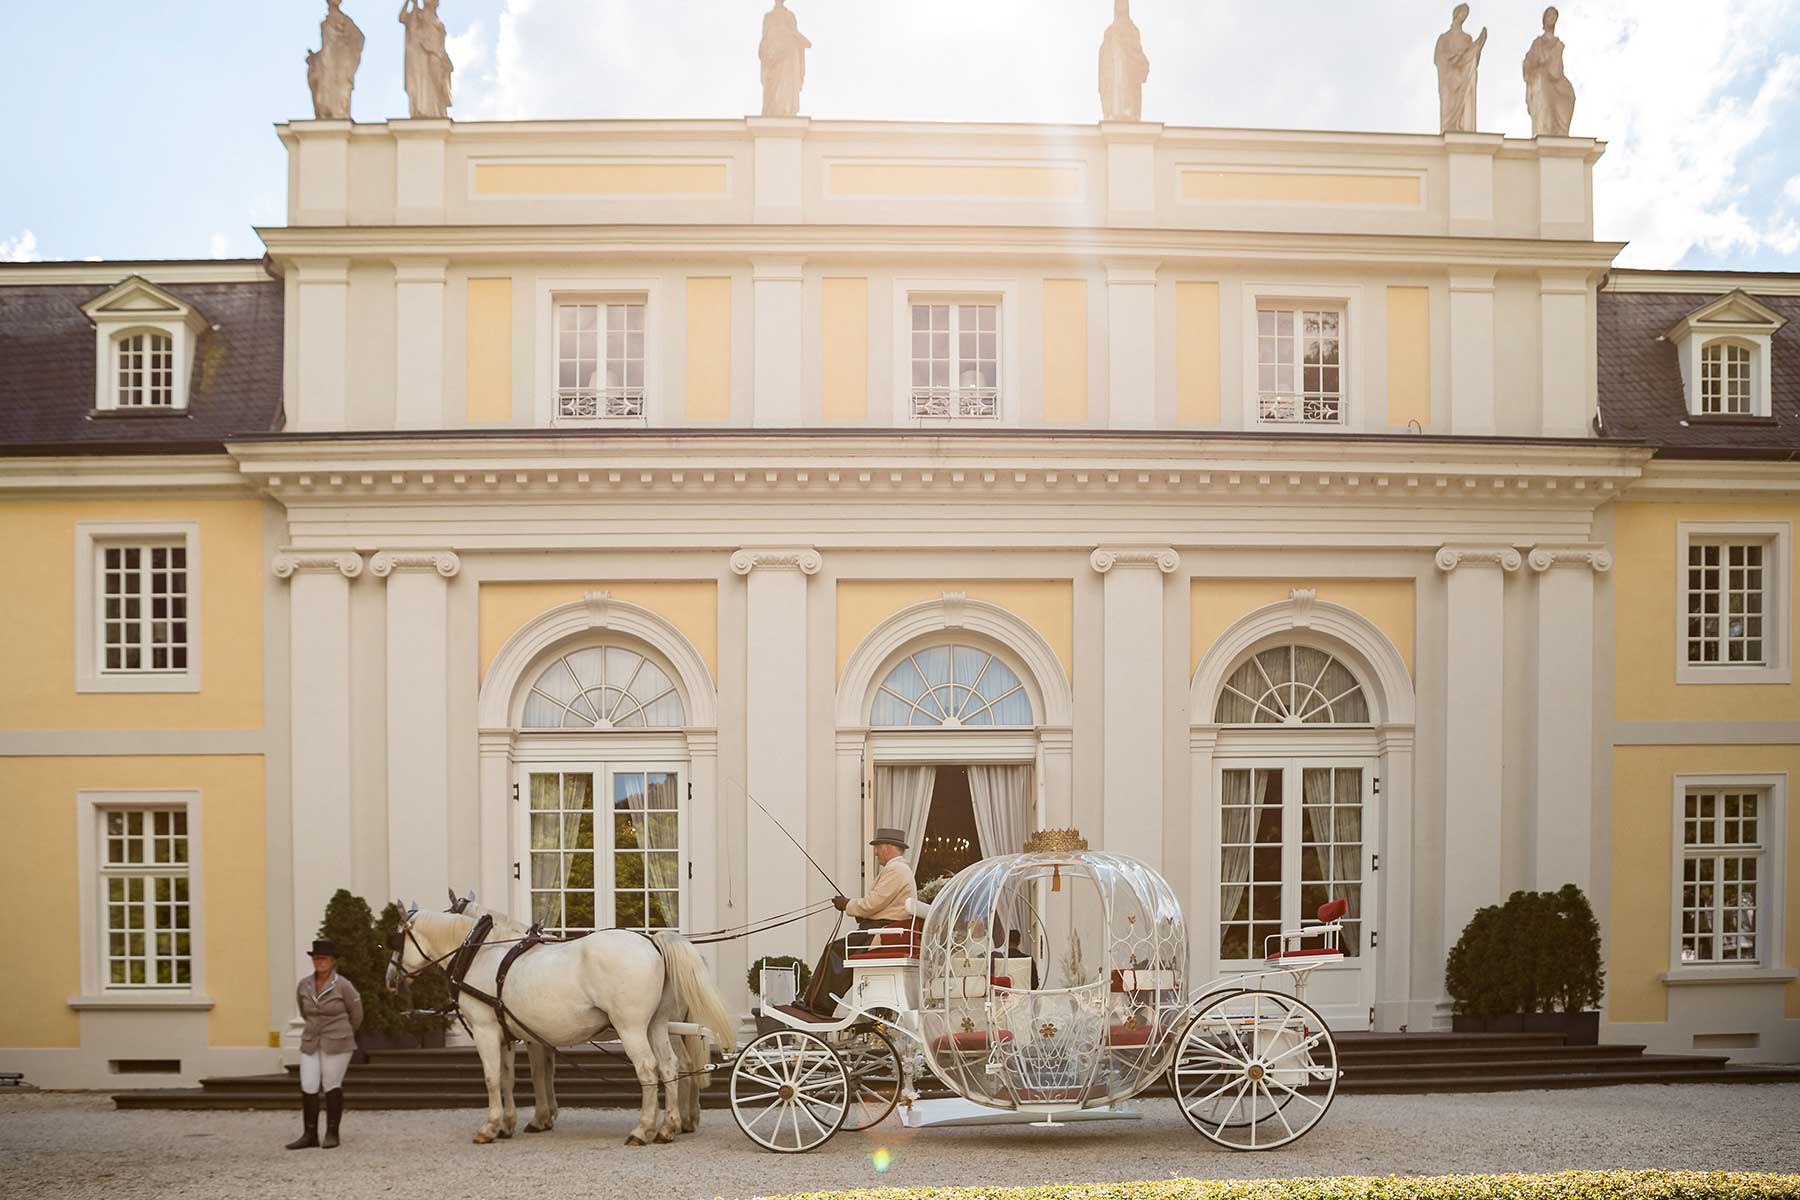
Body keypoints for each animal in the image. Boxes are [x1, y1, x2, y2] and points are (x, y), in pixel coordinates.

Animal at [390, 910, 734, 1144]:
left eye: (396, 938)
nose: (390, 979)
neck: (480, 954)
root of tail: (650, 941)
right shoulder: (507, 1035)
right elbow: (508, 1078)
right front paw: (508, 1124)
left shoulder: (487, 1030)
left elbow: (494, 1078)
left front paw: (491, 1126)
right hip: (657, 1025)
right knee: (670, 1066)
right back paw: (669, 1126)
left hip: (631, 1027)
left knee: (649, 1070)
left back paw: (644, 1128)